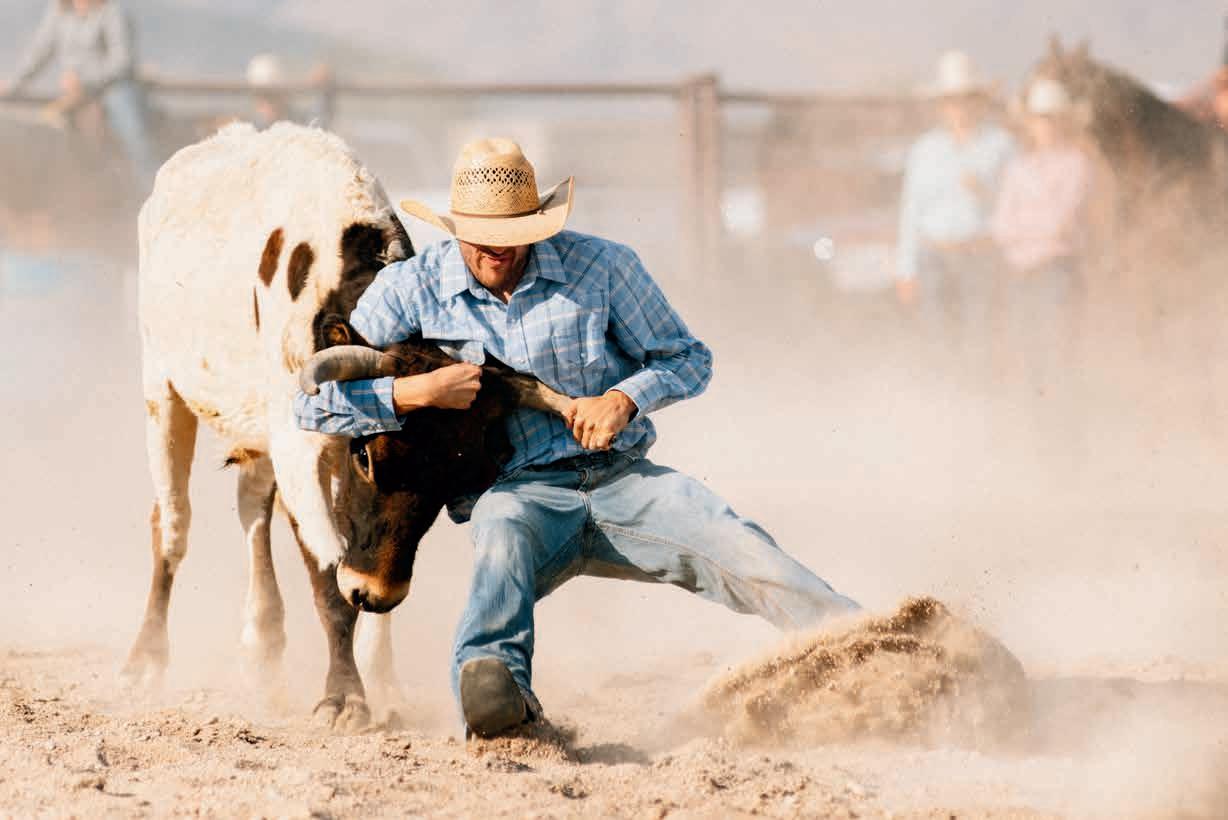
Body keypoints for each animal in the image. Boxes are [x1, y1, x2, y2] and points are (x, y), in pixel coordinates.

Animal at [125, 122, 570, 728]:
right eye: (368, 457)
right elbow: (328, 576)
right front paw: (344, 695)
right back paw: (145, 661)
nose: (376, 592)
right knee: (171, 526)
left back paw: (263, 651)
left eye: (458, 480)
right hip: (162, 390)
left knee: (251, 508)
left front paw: (381, 680)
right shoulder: (302, 450)